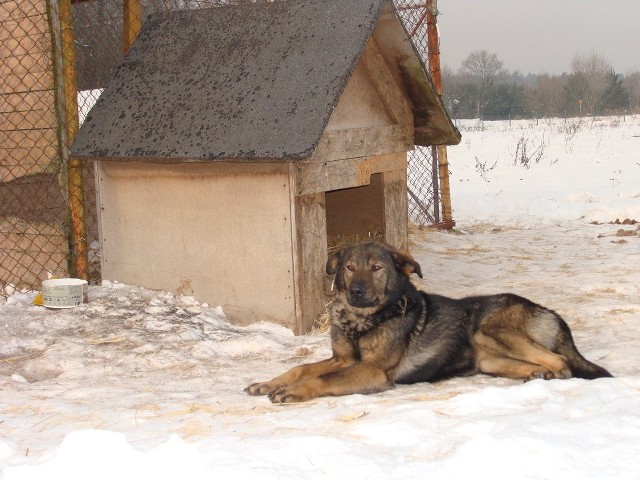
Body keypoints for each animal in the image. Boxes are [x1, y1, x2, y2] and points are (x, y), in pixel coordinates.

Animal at [244, 242, 608, 404]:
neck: (363, 322)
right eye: (349, 267)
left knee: (560, 361)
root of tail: (550, 312)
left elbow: (321, 379)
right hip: (489, 359)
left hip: (488, 329)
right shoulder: (342, 359)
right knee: (534, 364)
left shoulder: (371, 371)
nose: (356, 291)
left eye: (376, 268)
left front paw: (293, 391)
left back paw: (555, 375)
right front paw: (269, 383)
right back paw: (536, 375)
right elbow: (302, 368)